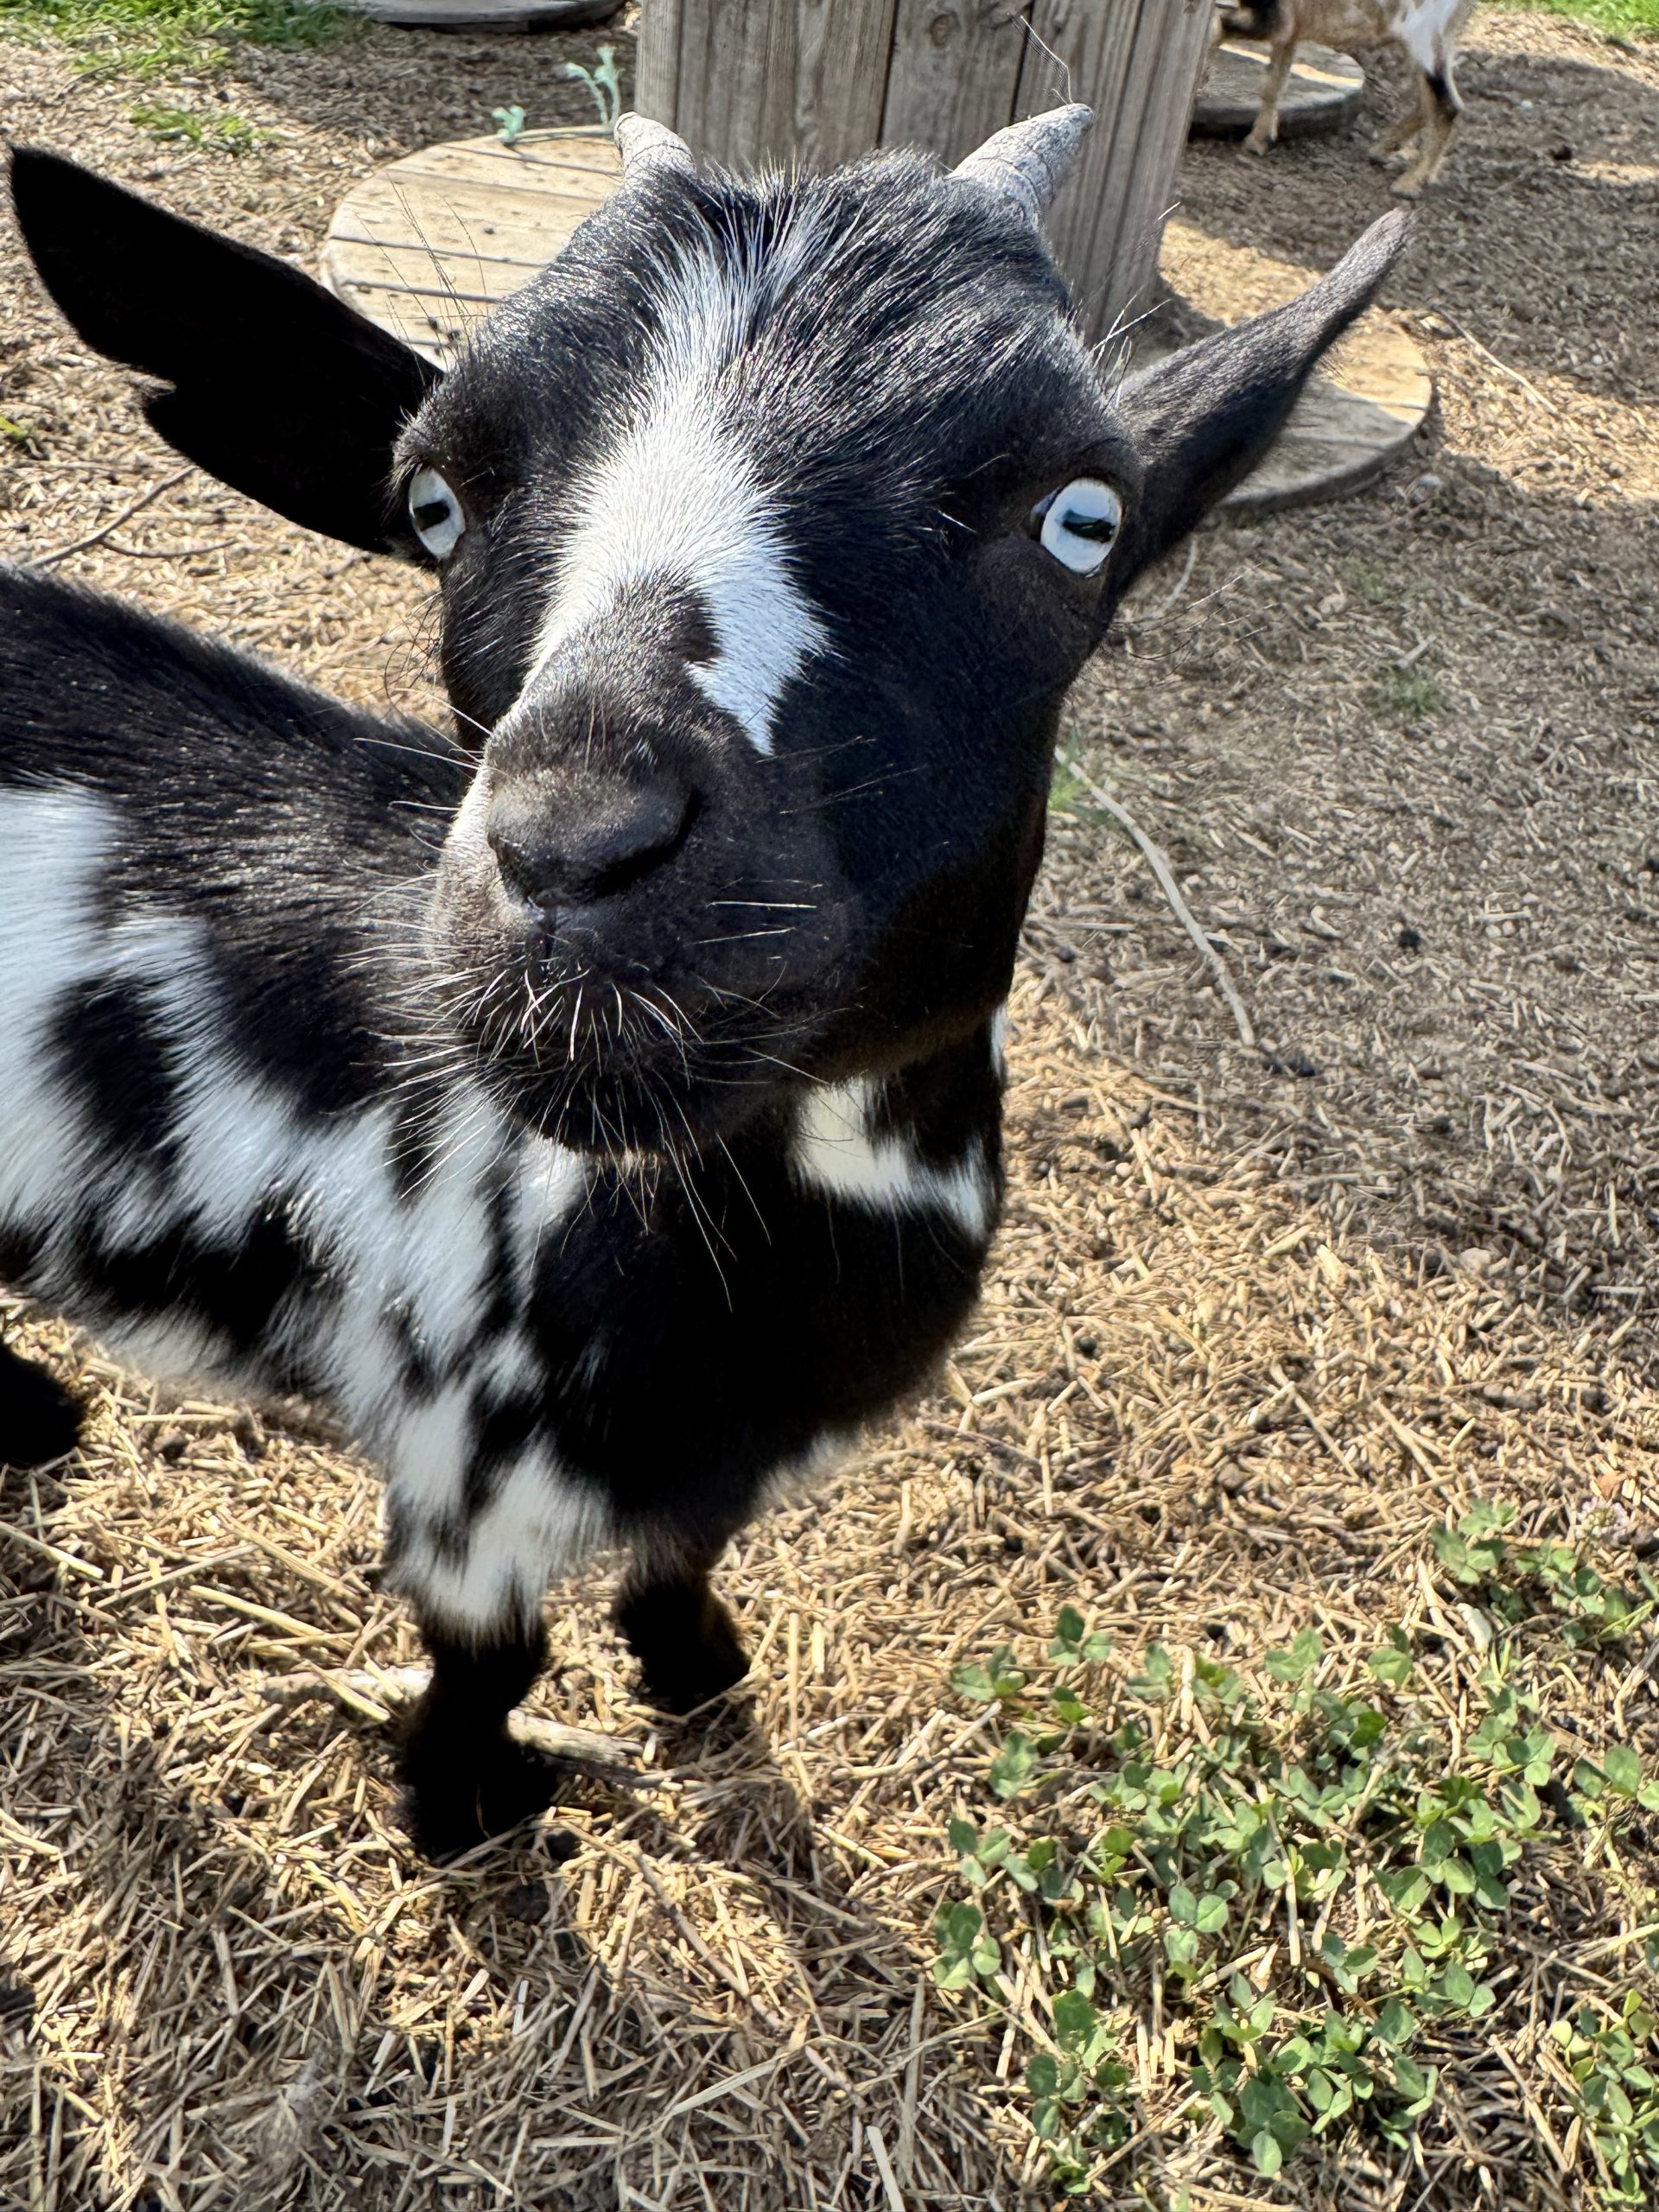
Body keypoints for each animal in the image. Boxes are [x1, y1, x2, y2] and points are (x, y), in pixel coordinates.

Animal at [3, 116, 1406, 1856]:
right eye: (431, 502)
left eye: (1083, 517)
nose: (573, 848)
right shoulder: (471, 1478)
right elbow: (494, 1653)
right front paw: (463, 1808)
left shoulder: (697, 1471)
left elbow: (685, 1556)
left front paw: (696, 1674)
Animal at [1214, 0, 1473, 195]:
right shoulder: (1290, 24)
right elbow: (1275, 80)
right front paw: (1259, 140)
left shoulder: (1270, 17)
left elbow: (1219, 28)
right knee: (1428, 101)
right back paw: (1381, 150)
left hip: (1424, 36)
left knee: (1447, 104)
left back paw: (1409, 183)